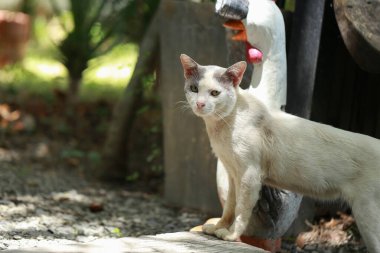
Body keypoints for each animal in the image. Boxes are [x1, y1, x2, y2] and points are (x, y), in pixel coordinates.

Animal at [180, 54, 380, 252]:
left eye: (215, 93)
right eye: (194, 89)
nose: (200, 104)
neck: (220, 126)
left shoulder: (249, 175)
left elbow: (241, 209)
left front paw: (231, 235)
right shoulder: (232, 173)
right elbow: (229, 206)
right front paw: (218, 227)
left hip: (366, 213)